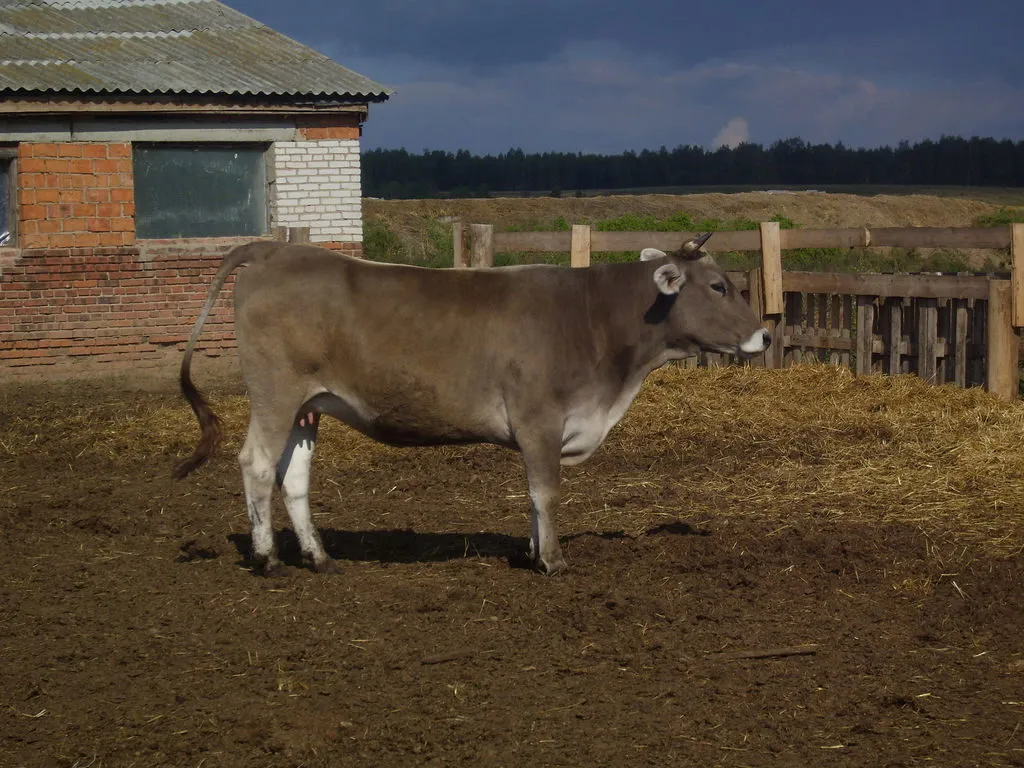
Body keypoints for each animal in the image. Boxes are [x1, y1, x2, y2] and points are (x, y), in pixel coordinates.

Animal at [174, 234, 770, 577]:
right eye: (718, 285)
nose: (764, 335)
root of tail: (275, 250)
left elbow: (533, 498)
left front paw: (532, 552)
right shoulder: (540, 419)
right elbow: (546, 492)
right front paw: (553, 560)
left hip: (308, 405)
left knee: (293, 475)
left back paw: (319, 558)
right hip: (274, 394)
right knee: (255, 463)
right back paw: (267, 558)